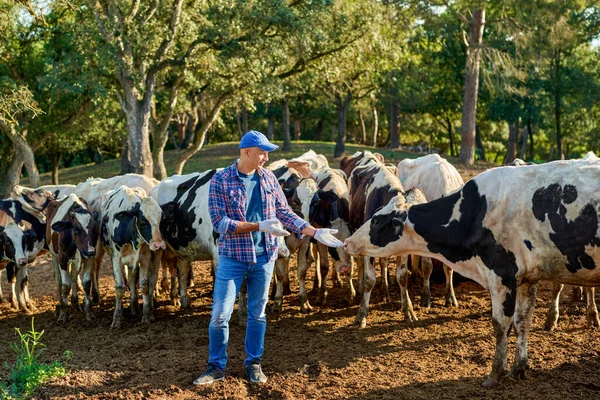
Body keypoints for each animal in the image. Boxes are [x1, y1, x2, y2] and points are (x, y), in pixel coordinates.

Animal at [45, 194, 98, 322]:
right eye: (76, 229)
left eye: (94, 228)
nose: (90, 251)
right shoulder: (62, 259)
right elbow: (65, 286)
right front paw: (63, 314)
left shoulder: (89, 258)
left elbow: (86, 283)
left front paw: (89, 312)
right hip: (54, 255)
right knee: (58, 279)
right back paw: (59, 305)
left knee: (73, 276)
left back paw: (75, 303)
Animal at [101, 185, 165, 328]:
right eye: (143, 220)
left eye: (161, 220)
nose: (159, 245)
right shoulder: (116, 259)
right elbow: (119, 287)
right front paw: (117, 319)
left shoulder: (145, 258)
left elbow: (144, 285)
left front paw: (147, 315)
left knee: (132, 278)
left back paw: (135, 306)